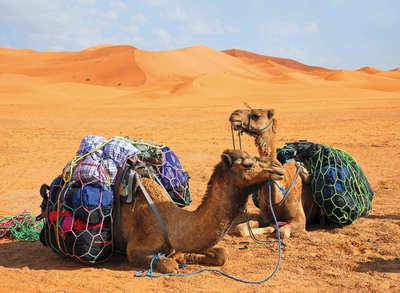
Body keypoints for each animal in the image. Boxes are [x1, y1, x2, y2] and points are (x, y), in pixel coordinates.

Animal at [116, 148, 284, 274]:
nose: (278, 166)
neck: (169, 221)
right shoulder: (135, 248)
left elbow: (222, 253)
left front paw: (185, 257)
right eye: (248, 164)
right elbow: (169, 265)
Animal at [228, 106, 322, 238]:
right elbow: (240, 228)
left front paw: (273, 227)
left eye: (256, 115)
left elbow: (283, 232)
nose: (234, 114)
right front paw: (270, 227)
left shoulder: (300, 220)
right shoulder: (264, 215)